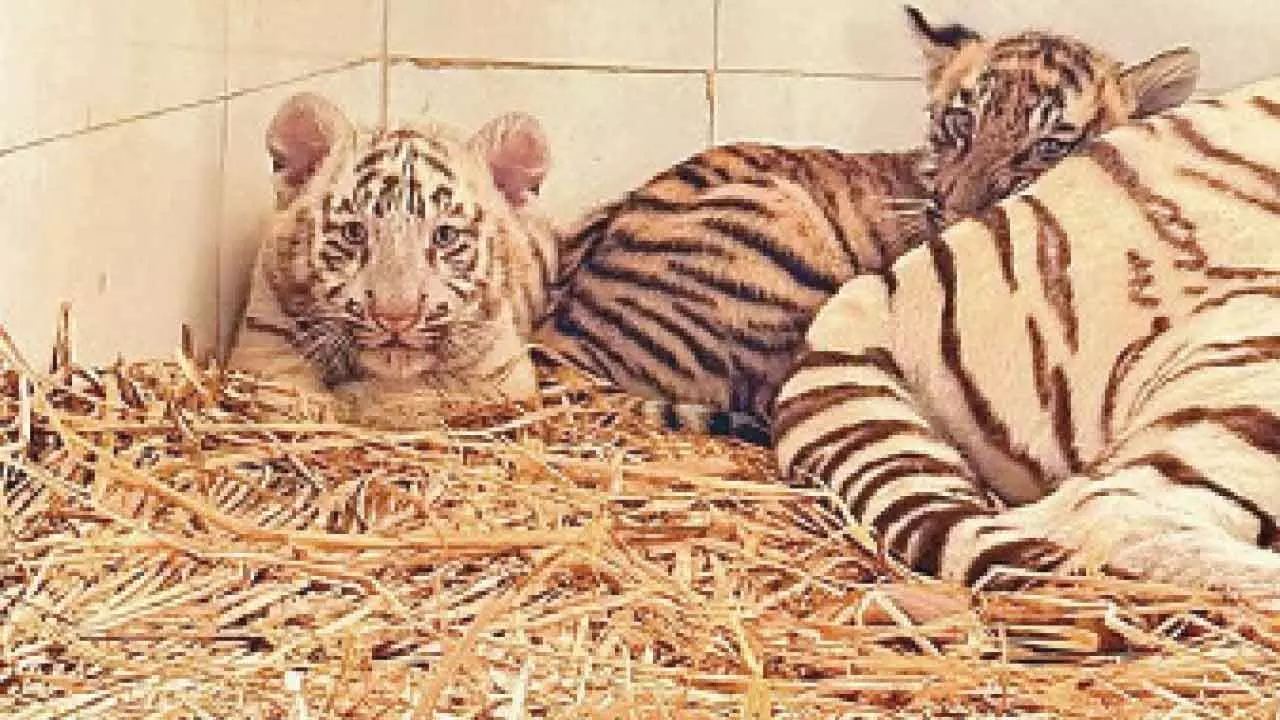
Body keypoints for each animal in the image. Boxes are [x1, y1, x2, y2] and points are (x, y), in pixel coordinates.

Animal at [227, 92, 557, 421]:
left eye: (445, 236)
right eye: (354, 232)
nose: (396, 317)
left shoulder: (506, 372)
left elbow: (432, 396)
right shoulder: (263, 342)